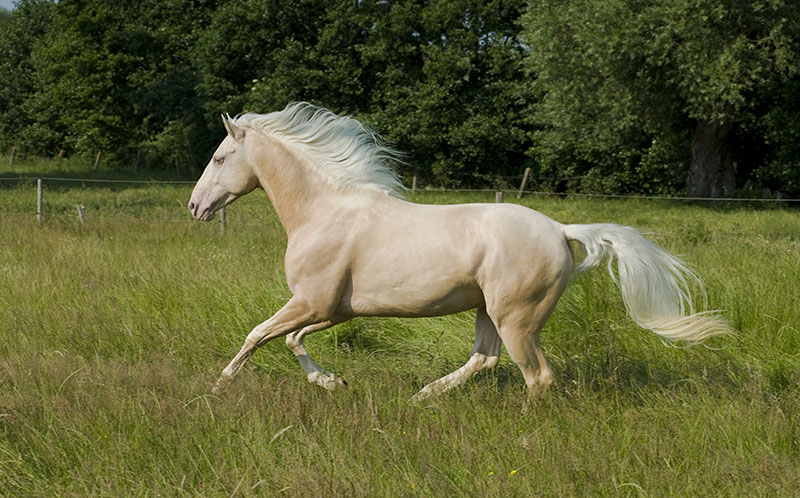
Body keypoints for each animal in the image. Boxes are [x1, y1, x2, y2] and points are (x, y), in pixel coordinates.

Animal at [188, 102, 731, 400]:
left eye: (218, 157)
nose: (195, 207)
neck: (324, 211)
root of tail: (560, 230)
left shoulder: (311, 302)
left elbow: (259, 335)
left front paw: (218, 388)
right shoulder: (333, 310)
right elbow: (290, 341)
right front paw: (334, 383)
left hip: (517, 319)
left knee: (538, 377)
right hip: (488, 311)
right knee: (485, 360)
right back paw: (424, 396)